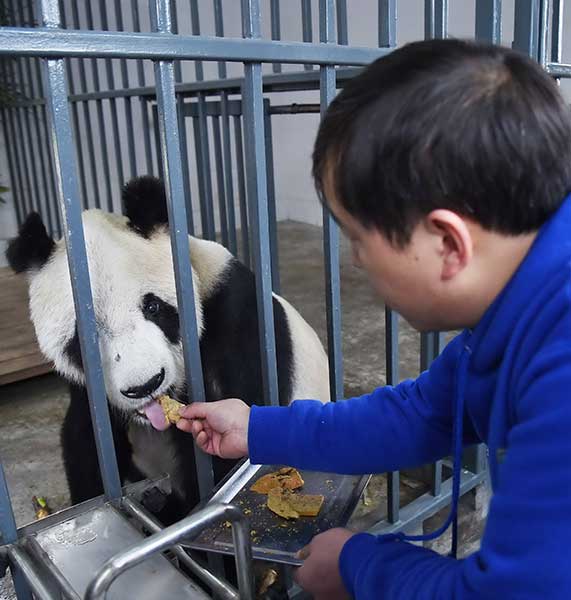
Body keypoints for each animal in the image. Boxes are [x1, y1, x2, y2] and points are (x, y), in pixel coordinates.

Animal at [6, 176, 330, 524]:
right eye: (85, 336)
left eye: (153, 307)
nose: (145, 385)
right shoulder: (86, 387)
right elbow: (86, 437)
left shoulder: (237, 319)